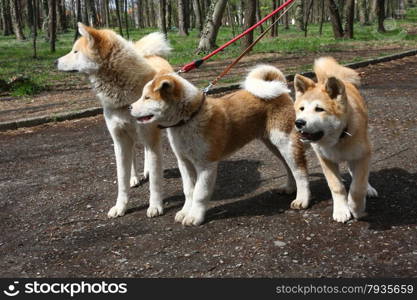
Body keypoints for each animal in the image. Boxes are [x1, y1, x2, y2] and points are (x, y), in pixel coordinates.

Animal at [55, 23, 172, 219]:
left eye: (75, 51)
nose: (54, 62)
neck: (125, 99)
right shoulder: (119, 140)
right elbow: (121, 180)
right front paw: (120, 207)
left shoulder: (150, 137)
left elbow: (155, 181)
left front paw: (155, 206)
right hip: (130, 137)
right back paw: (135, 177)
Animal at [129, 65, 308, 225]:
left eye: (147, 98)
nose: (129, 107)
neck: (189, 118)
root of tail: (281, 89)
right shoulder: (184, 162)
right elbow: (189, 191)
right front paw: (186, 211)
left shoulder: (206, 165)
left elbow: (200, 193)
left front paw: (194, 217)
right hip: (274, 144)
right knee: (289, 167)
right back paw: (290, 188)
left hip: (285, 142)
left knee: (300, 170)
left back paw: (302, 199)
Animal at [292, 57, 376, 224]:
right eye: (301, 109)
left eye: (319, 109)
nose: (299, 123)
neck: (338, 139)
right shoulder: (325, 160)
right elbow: (336, 186)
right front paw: (341, 210)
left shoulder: (363, 155)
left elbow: (358, 187)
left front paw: (356, 208)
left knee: (359, 176)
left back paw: (368, 189)